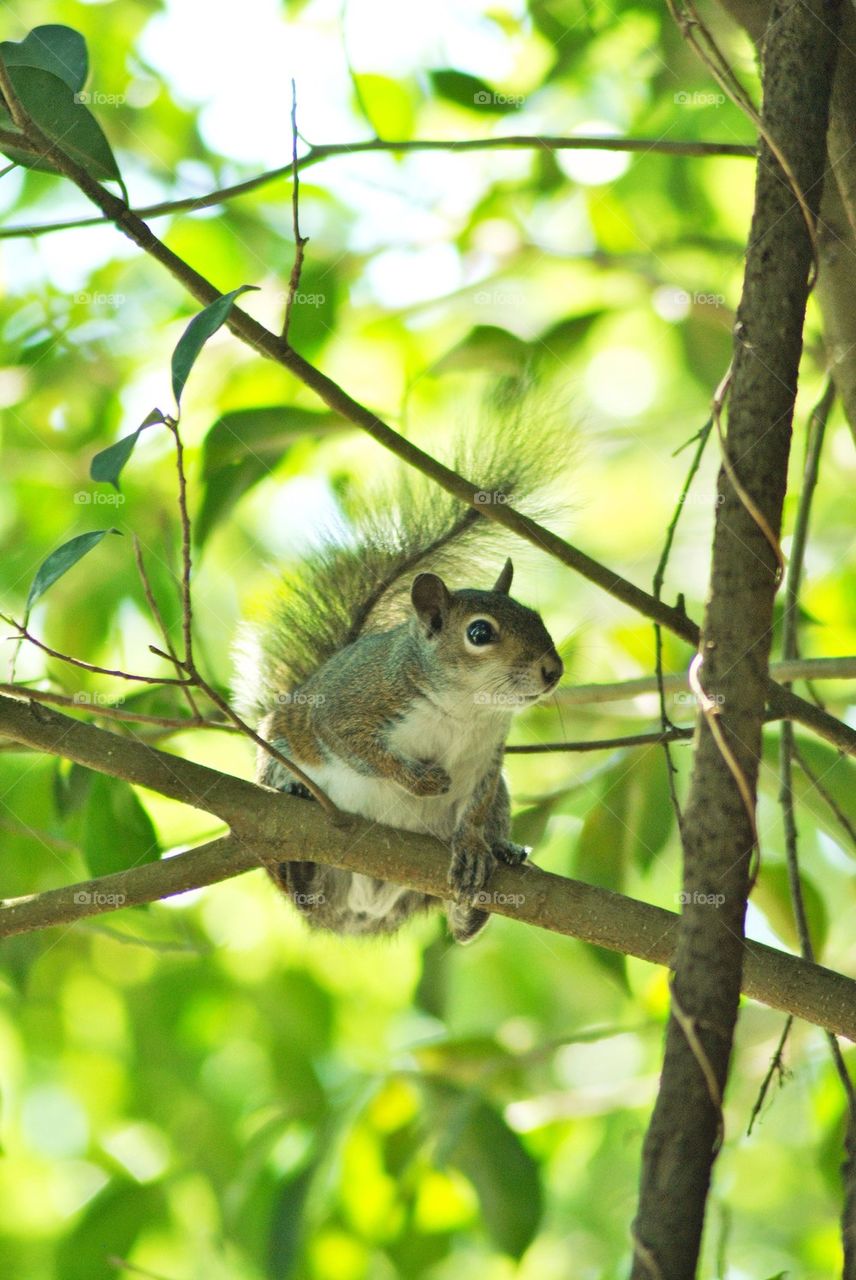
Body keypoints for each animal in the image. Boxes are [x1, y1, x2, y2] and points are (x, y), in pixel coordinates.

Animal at [240, 426, 564, 943]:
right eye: (480, 633)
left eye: (536, 617)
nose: (553, 670)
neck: (465, 708)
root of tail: (364, 905)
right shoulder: (349, 704)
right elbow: (355, 745)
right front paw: (420, 780)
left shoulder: (487, 760)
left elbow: (474, 808)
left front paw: (473, 845)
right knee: (299, 890)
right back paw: (297, 853)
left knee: (462, 919)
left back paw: (494, 866)